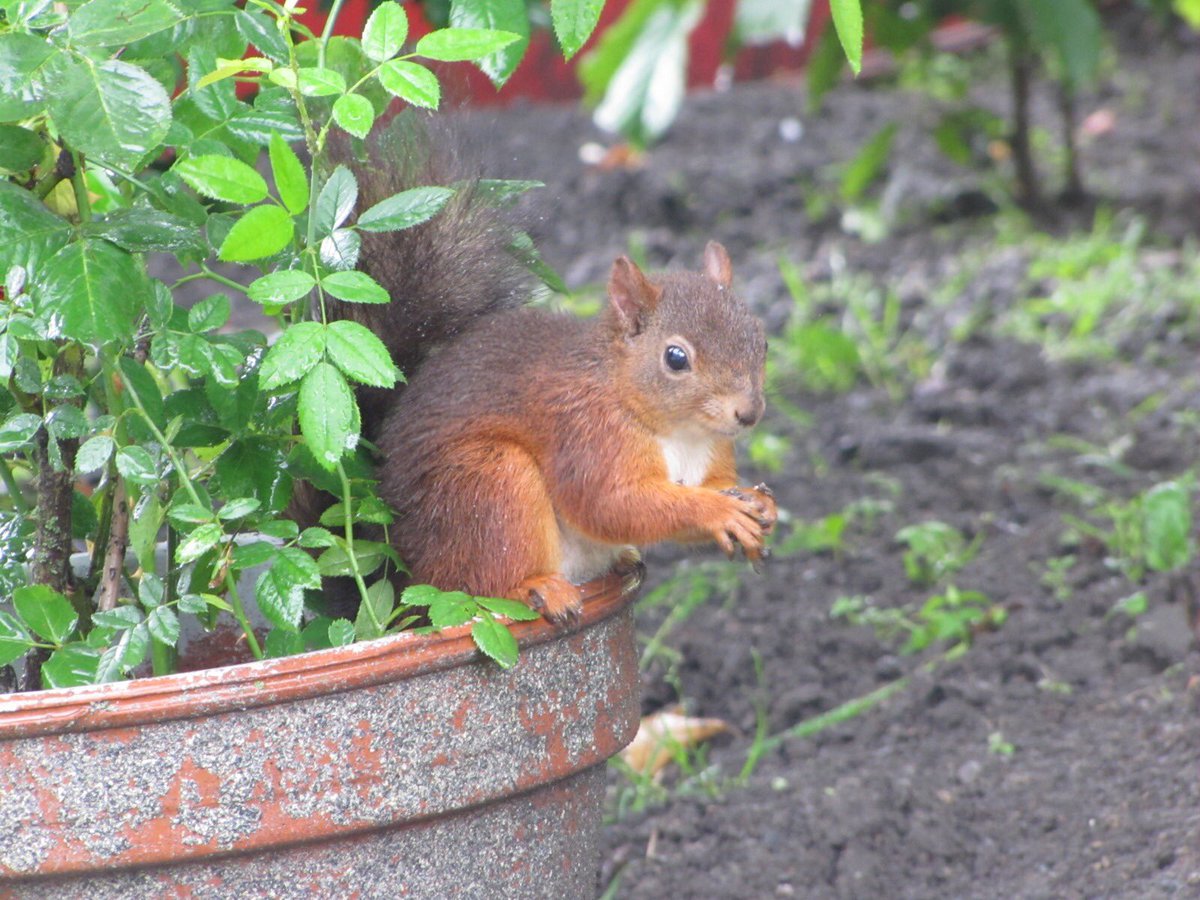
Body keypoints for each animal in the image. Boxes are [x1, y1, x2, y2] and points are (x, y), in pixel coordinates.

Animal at [322, 118, 777, 625]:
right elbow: (611, 503)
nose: (748, 413)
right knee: (484, 588)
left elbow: (710, 488)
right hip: (490, 483)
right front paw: (716, 512)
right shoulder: (585, 435)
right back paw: (538, 588)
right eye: (676, 358)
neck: (678, 430)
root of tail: (403, 572)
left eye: (762, 340)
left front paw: (759, 503)